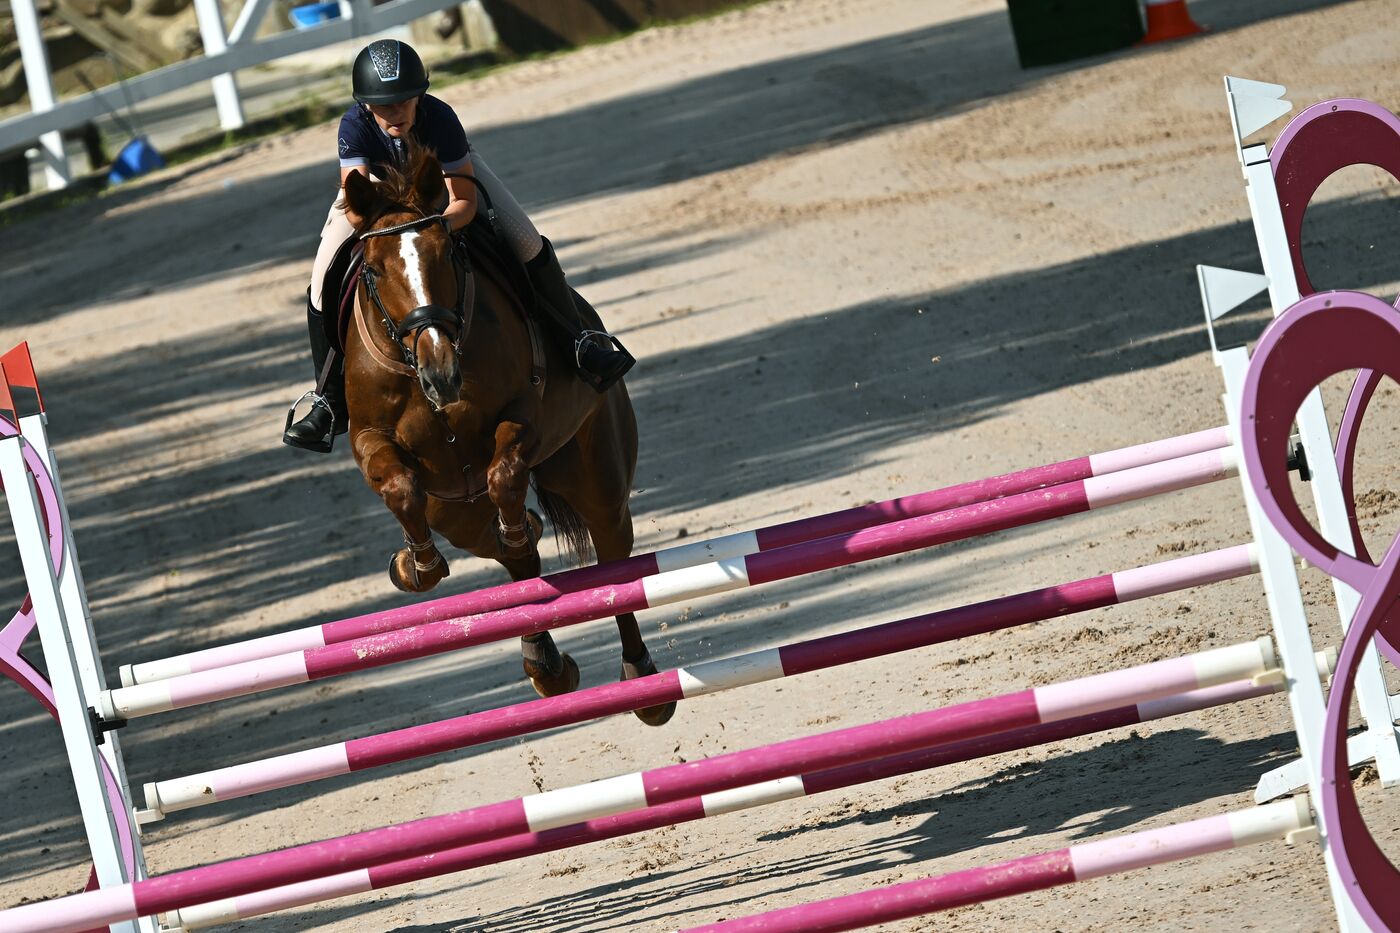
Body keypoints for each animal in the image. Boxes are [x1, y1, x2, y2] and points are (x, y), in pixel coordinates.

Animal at [333, 147, 672, 728]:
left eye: (448, 254)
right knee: (509, 559)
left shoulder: (523, 413)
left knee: (611, 563)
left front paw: (515, 528)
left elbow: (506, 472)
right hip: (456, 511)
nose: (442, 374)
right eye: (373, 270)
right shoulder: (370, 439)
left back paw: (643, 683)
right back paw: (546, 663)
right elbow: (401, 488)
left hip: (597, 478)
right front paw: (417, 566)